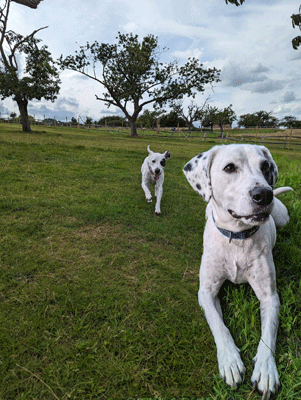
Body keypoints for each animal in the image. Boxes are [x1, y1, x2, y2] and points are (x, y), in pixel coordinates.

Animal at [182, 145, 292, 400]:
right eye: (230, 167)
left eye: (265, 166)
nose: (265, 194)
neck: (237, 238)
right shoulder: (206, 292)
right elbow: (219, 325)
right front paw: (230, 361)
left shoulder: (270, 296)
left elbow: (269, 332)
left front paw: (266, 370)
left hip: (283, 218)